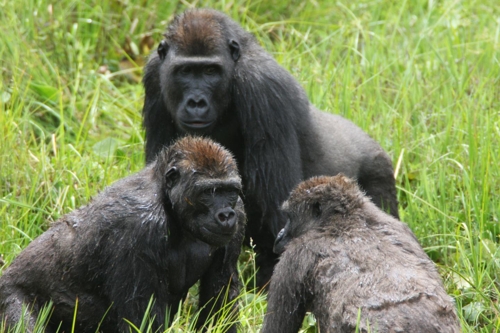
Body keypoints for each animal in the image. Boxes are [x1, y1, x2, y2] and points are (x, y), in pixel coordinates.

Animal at [0, 136, 246, 332]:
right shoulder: (138, 230)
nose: (226, 215)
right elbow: (142, 320)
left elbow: (220, 298)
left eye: (230, 191)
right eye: (209, 191)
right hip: (9, 294)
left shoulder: (240, 212)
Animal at [143, 9, 400, 286]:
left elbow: (277, 206)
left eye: (210, 71)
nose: (196, 102)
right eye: (185, 71)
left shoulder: (263, 88)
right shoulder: (153, 75)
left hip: (378, 172)